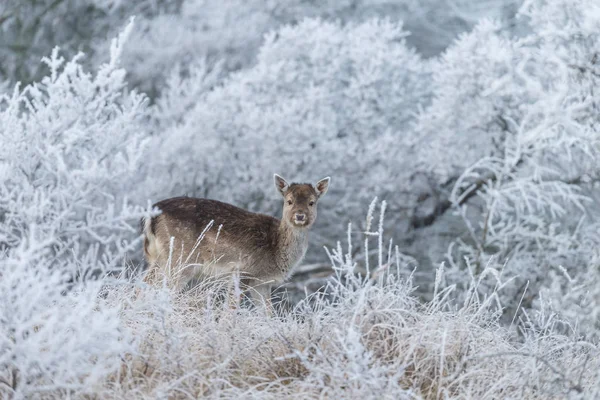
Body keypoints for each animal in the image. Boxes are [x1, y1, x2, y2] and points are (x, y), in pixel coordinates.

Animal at [140, 173, 330, 314]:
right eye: (289, 201)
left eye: (312, 202)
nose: (300, 215)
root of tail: (152, 215)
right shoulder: (242, 271)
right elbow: (230, 310)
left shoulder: (261, 283)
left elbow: (268, 314)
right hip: (182, 259)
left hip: (161, 258)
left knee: (141, 285)